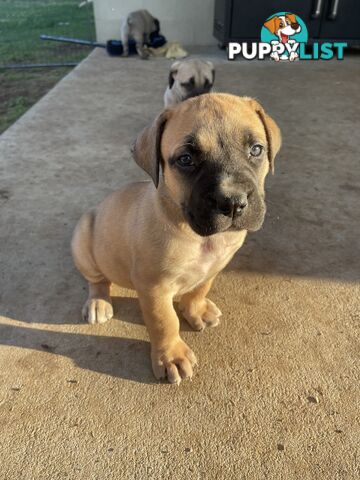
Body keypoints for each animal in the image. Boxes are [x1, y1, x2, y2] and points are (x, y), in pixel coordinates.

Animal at [71, 94, 282, 386]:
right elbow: (165, 321)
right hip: (84, 240)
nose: (233, 202)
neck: (200, 237)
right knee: (97, 279)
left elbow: (199, 289)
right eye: (185, 159)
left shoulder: (213, 268)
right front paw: (170, 356)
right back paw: (98, 302)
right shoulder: (154, 287)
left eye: (257, 150)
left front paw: (196, 310)